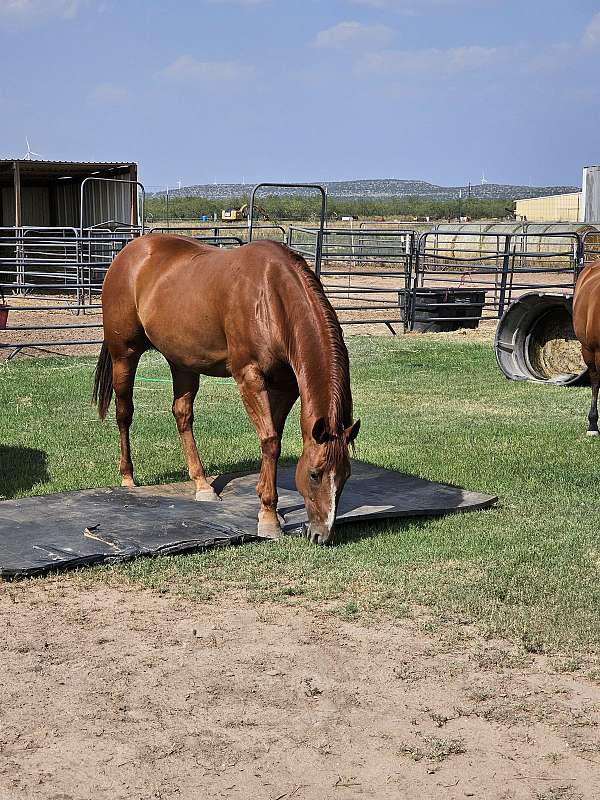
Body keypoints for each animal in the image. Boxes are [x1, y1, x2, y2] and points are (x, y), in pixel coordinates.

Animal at [91, 231, 358, 544]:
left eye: (346, 475)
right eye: (315, 474)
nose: (321, 535)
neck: (272, 297)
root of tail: (128, 252)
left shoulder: (286, 386)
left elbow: (273, 439)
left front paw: (267, 502)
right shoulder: (249, 377)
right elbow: (270, 440)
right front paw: (269, 518)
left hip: (182, 361)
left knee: (182, 414)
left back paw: (202, 484)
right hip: (124, 354)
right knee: (124, 413)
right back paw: (128, 477)